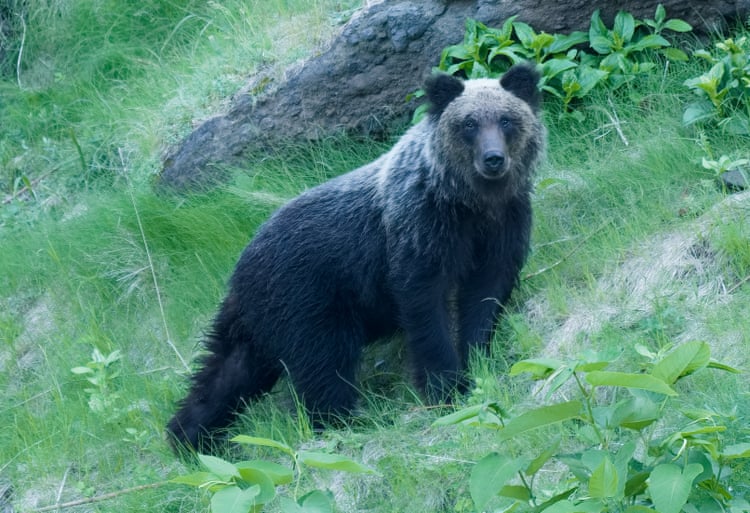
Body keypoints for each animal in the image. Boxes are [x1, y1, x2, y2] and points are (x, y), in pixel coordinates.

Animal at [167, 63, 545, 452]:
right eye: (468, 123)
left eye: (506, 119)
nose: (493, 159)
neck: (469, 203)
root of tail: (240, 266)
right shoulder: (420, 231)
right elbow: (426, 309)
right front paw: (445, 386)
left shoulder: (503, 226)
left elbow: (485, 296)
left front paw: (477, 362)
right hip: (309, 301)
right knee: (323, 365)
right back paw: (341, 422)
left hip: (259, 320)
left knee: (227, 371)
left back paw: (191, 437)